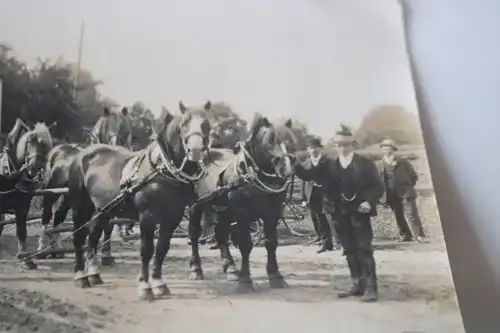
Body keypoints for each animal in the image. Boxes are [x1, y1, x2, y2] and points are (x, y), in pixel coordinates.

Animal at [0, 118, 53, 268]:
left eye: (45, 145)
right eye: (28, 143)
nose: (33, 167)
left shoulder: (22, 208)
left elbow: (22, 232)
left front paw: (26, 259)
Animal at [37, 106, 132, 262]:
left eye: (126, 129)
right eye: (106, 128)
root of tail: (56, 150)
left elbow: (107, 227)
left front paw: (106, 255)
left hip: (68, 197)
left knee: (59, 215)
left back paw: (57, 249)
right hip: (51, 190)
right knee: (47, 214)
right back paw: (41, 248)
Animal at [68, 100, 211, 298]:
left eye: (207, 124)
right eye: (184, 124)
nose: (195, 150)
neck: (162, 171)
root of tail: (82, 155)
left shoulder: (173, 217)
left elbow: (162, 248)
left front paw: (158, 283)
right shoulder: (147, 216)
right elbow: (146, 250)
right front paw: (145, 286)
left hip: (102, 209)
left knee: (93, 236)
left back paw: (93, 274)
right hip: (80, 206)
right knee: (79, 237)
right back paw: (81, 275)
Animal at [188, 114, 296, 290]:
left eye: (291, 140)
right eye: (270, 140)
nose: (285, 168)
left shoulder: (272, 213)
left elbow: (271, 243)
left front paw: (276, 276)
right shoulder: (243, 214)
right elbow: (245, 244)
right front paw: (246, 280)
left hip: (223, 210)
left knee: (221, 234)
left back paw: (231, 268)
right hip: (195, 206)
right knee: (194, 234)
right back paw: (196, 269)